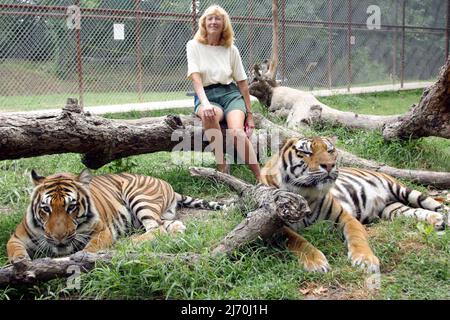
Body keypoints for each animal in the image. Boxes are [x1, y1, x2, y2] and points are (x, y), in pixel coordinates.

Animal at [7, 169, 225, 264]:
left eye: (72, 207)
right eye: (46, 209)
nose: (59, 238)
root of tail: (167, 183)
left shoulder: (102, 231)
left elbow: (90, 248)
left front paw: (80, 257)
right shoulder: (16, 237)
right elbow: (14, 251)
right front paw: (21, 264)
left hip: (139, 196)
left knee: (155, 228)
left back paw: (129, 243)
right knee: (167, 224)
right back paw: (178, 229)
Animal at [262, 136, 448, 274]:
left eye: (330, 150)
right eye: (307, 152)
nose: (329, 165)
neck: (307, 194)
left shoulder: (346, 218)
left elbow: (357, 237)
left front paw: (365, 260)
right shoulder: (276, 226)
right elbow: (298, 241)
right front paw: (315, 262)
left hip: (403, 190)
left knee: (435, 204)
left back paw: (442, 217)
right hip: (392, 209)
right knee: (414, 211)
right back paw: (437, 220)